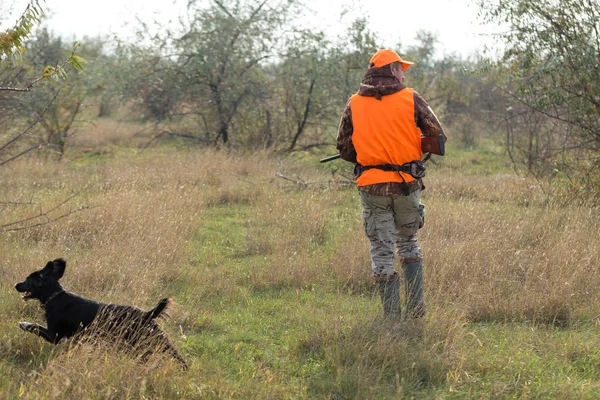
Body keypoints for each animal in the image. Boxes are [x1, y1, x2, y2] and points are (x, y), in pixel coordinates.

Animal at [15, 260, 188, 368]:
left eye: (27, 280)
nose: (16, 285)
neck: (55, 296)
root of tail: (147, 314)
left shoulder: (54, 335)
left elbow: (36, 327)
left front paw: (24, 324)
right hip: (151, 341)